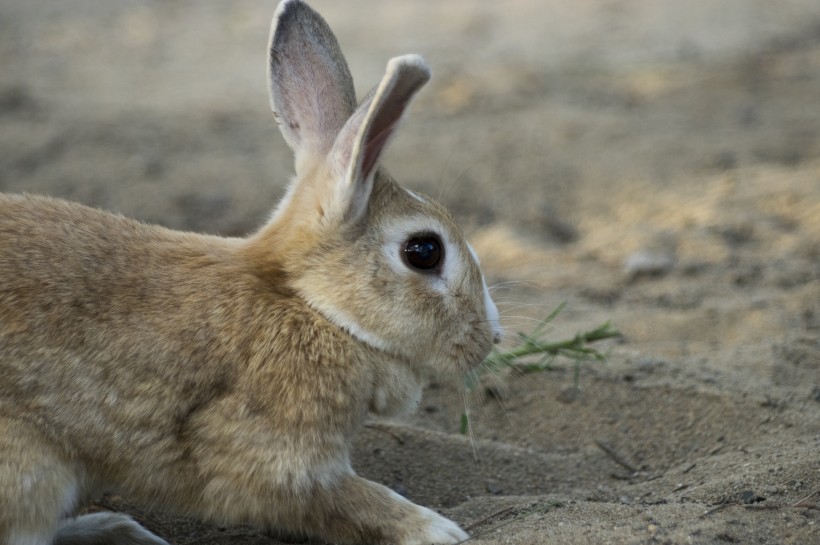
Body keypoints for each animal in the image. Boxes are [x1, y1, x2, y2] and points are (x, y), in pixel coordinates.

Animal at [0, 1, 502, 544]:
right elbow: (353, 498)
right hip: (31, 476)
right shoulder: (270, 458)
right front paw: (440, 530)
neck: (313, 306)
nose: (491, 338)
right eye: (424, 251)